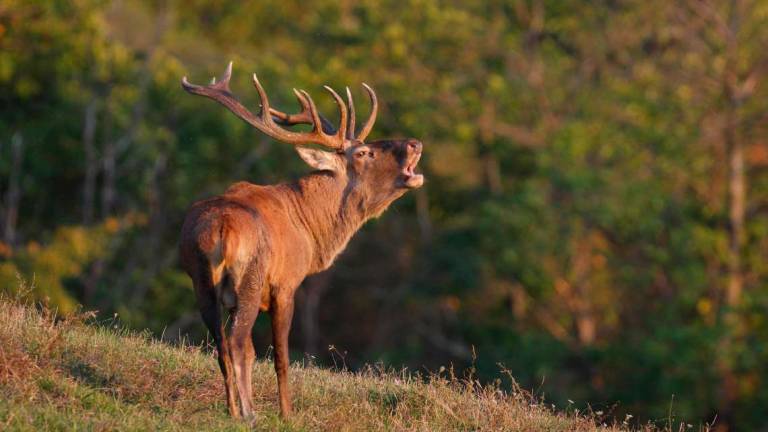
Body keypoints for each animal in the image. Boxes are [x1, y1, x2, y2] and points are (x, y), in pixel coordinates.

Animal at [178, 62, 424, 420]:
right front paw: (287, 414)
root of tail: (221, 229)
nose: (415, 144)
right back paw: (250, 414)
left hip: (201, 282)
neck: (310, 229)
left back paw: (234, 411)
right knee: (237, 342)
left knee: (221, 345)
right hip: (251, 278)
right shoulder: (286, 283)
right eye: (364, 152)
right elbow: (281, 358)